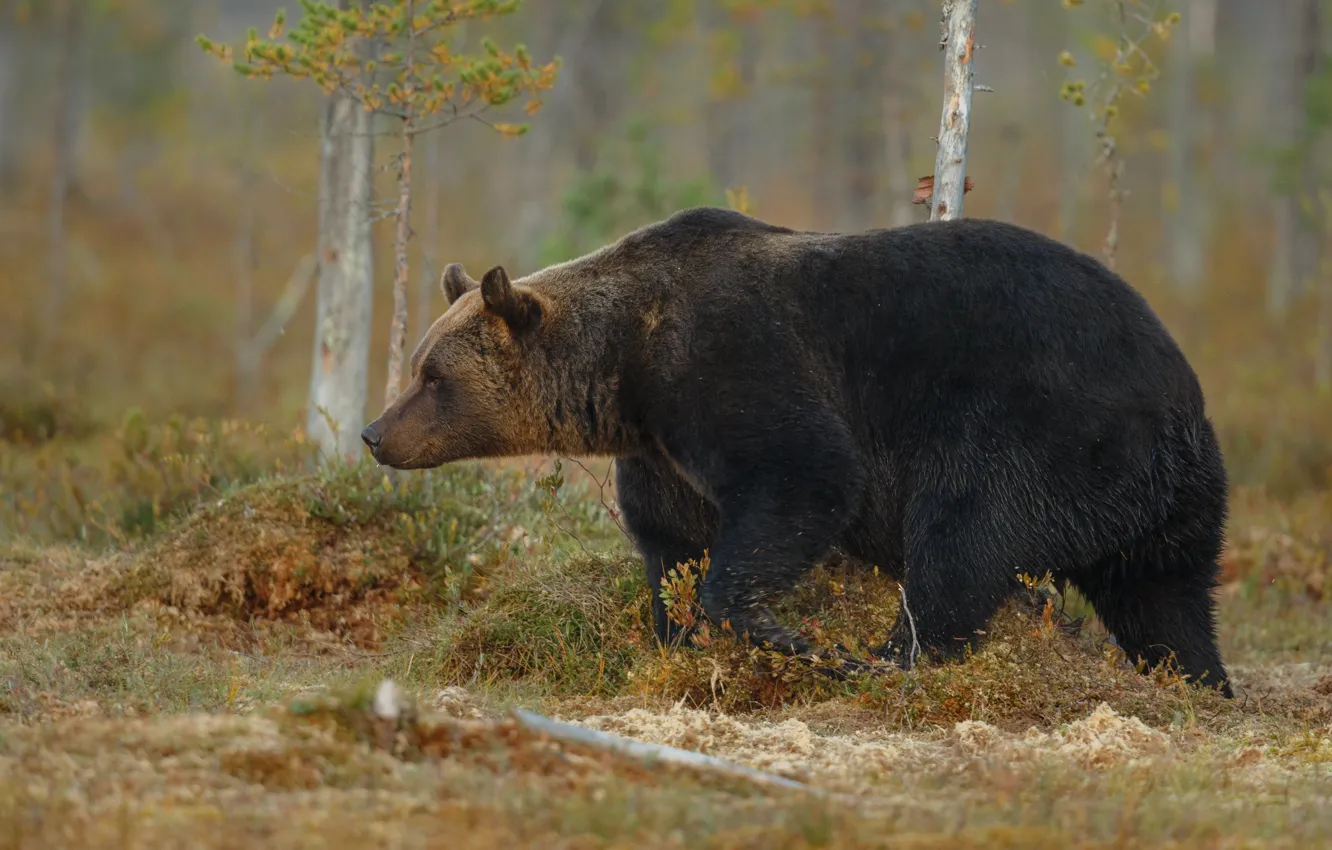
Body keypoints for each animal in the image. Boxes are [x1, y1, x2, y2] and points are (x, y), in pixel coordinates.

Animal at [360, 206, 1233, 698]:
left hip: (1035, 427)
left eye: (432, 376)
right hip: (1165, 499)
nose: (374, 433)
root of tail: (1178, 397)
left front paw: (786, 637)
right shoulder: (661, 453)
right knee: (1166, 597)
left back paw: (890, 661)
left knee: (962, 541)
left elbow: (804, 478)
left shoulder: (732, 365)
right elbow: (670, 546)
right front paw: (678, 641)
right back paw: (1198, 684)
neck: (624, 369)